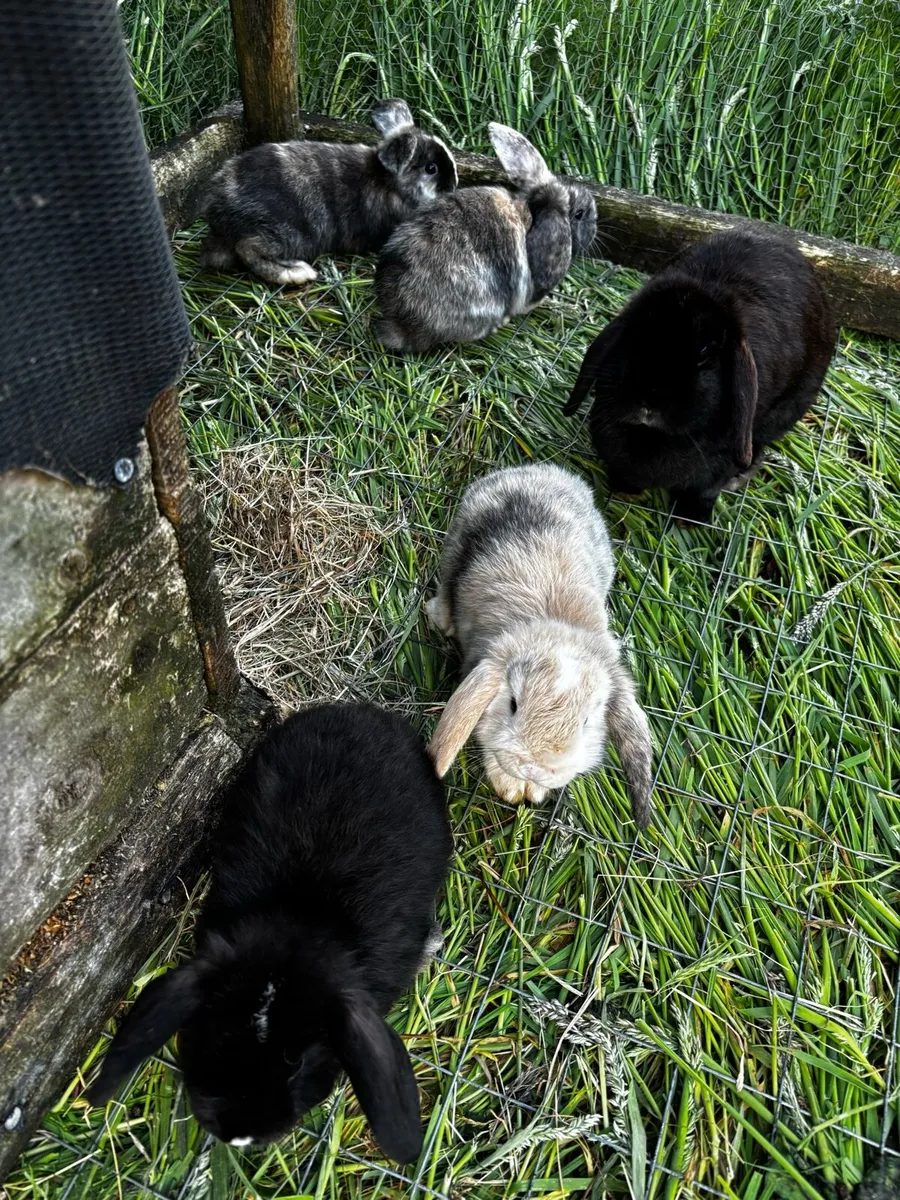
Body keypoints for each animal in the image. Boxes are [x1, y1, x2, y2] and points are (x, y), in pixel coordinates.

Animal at [199, 99, 457, 285]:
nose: (453, 185)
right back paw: (296, 273)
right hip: (284, 231)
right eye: (431, 168)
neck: (390, 183)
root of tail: (218, 213)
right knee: (248, 248)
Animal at [426, 463, 653, 827]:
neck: (555, 625)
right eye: (513, 704)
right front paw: (510, 787)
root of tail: (537, 471)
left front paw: (531, 791)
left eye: (587, 722)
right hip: (457, 540)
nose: (536, 767)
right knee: (447, 582)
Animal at [563, 230, 837, 522]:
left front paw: (691, 518)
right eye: (634, 335)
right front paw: (626, 488)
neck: (653, 436)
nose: (649, 398)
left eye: (705, 352)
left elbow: (706, 489)